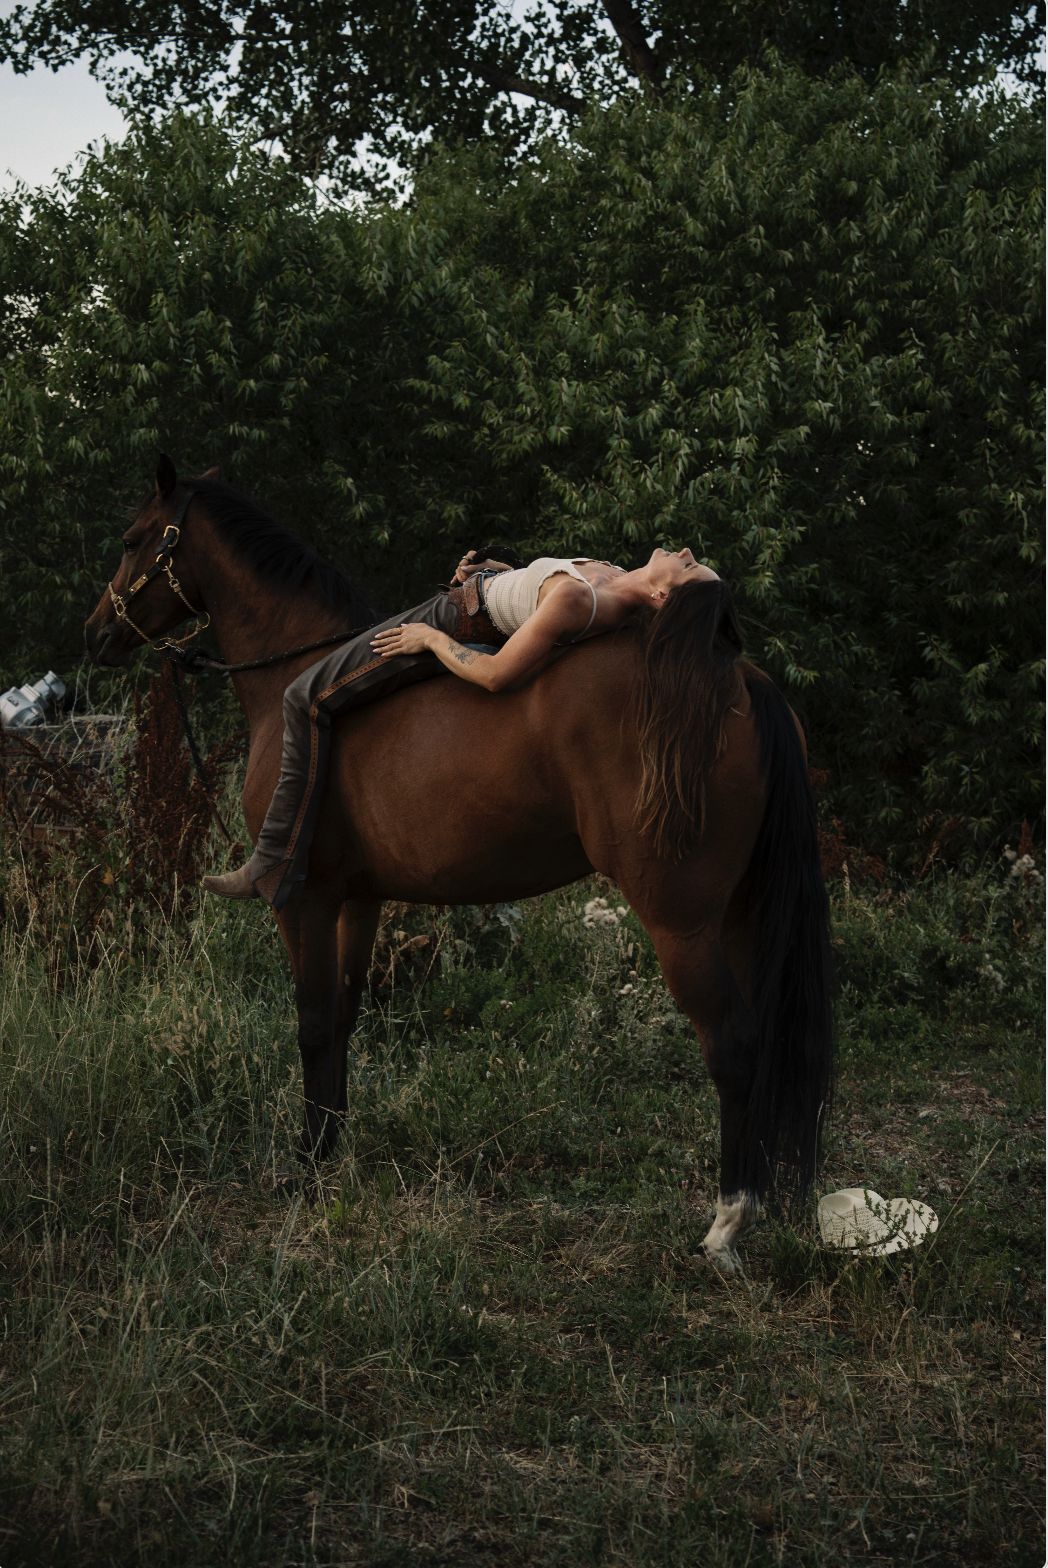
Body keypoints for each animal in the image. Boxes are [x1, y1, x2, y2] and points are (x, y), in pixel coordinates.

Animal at [84, 458, 835, 1273]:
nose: (96, 633)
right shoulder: (358, 901)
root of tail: (737, 679)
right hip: (739, 915)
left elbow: (311, 1024)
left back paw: (728, 1223)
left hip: (682, 923)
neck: (300, 673)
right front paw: (330, 1147)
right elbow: (342, 1019)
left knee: (732, 1044)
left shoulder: (304, 899)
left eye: (132, 539)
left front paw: (304, 1166)